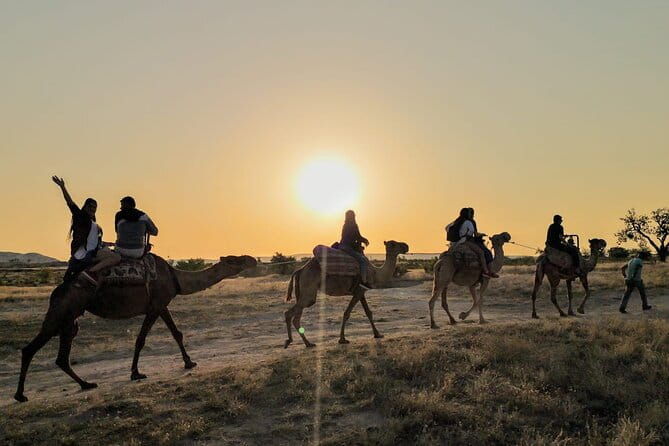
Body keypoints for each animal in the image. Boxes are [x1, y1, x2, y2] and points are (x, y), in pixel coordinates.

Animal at [14, 254, 257, 403]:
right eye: (236, 259)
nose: (253, 259)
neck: (175, 277)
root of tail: (57, 291)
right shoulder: (155, 305)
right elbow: (141, 339)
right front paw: (135, 373)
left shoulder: (161, 304)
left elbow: (176, 333)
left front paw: (189, 362)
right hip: (63, 311)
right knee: (30, 349)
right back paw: (20, 395)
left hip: (70, 320)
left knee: (62, 356)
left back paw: (86, 384)